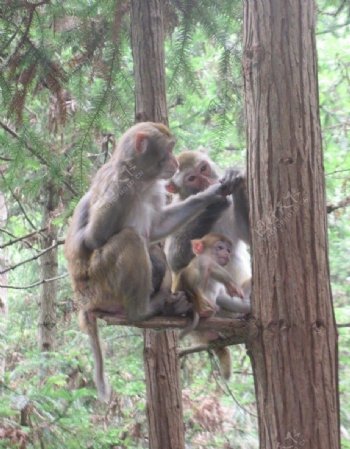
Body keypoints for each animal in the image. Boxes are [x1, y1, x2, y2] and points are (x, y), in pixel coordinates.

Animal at [65, 121, 235, 400]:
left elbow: (157, 228)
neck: (141, 181)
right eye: (169, 148)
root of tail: (84, 300)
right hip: (101, 285)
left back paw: (171, 305)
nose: (174, 162)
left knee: (155, 250)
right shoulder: (118, 186)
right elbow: (92, 238)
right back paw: (143, 310)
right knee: (131, 239)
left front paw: (213, 193)